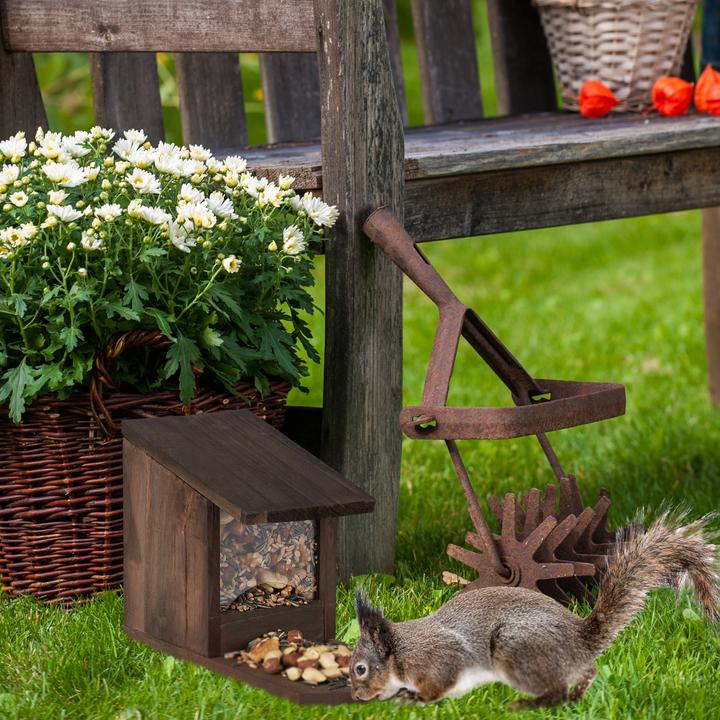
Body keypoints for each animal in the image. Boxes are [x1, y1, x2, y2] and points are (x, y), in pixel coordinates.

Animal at [349, 512, 719, 708]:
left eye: (360, 669)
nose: (355, 696)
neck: (402, 651)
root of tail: (581, 640)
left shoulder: (439, 658)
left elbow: (439, 684)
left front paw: (413, 699)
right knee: (583, 676)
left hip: (515, 649)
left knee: (553, 690)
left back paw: (527, 705)